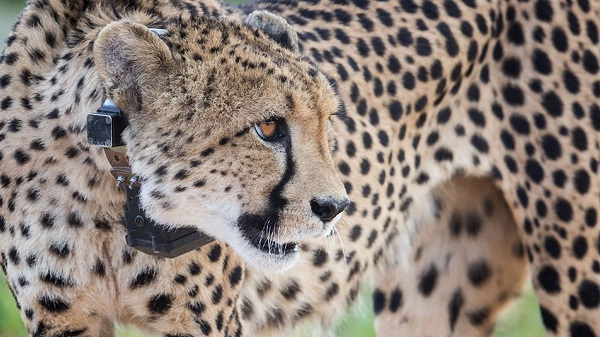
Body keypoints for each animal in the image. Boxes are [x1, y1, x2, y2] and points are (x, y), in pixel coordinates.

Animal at [1, 0, 600, 336]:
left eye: (326, 123)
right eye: (268, 128)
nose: (335, 207)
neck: (101, 187)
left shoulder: (203, 321)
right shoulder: (62, 319)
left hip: (577, 280)